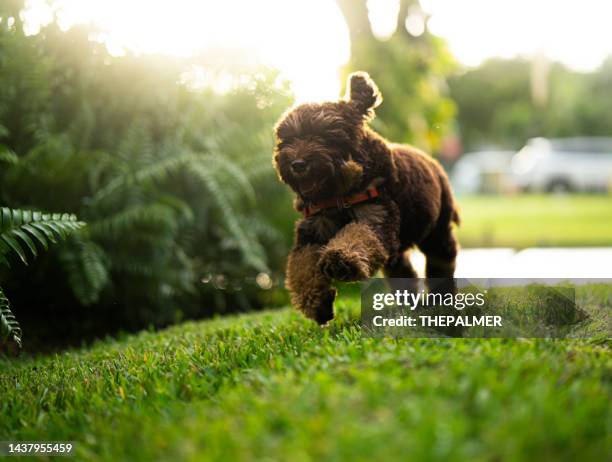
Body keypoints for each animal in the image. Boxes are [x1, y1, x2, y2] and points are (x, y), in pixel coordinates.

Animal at [272, 72, 460, 324]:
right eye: (287, 140)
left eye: (324, 135)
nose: (297, 164)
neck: (338, 194)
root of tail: (435, 164)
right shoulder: (310, 234)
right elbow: (302, 269)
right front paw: (317, 304)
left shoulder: (376, 218)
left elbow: (358, 237)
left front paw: (340, 261)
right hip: (400, 247)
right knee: (402, 269)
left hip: (436, 232)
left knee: (442, 260)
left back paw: (441, 300)